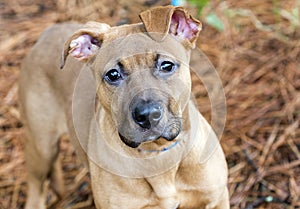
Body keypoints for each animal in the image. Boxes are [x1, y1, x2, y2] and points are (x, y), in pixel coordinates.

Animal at [18, 5, 229, 209]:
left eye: (166, 65)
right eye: (113, 75)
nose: (148, 115)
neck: (157, 154)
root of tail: (49, 31)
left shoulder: (217, 199)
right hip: (41, 147)